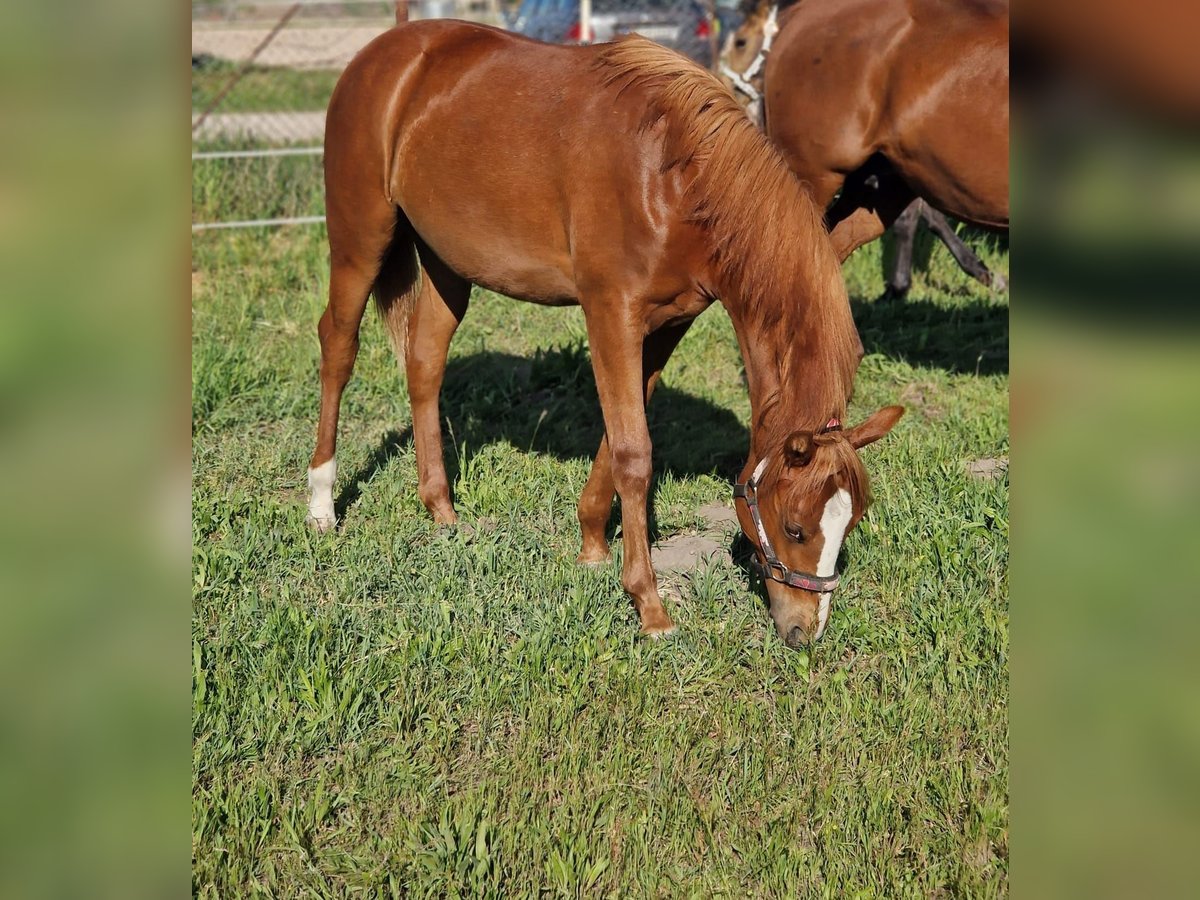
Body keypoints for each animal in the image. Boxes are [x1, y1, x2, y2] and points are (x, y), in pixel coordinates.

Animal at [307, 21, 902, 648]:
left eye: (850, 522)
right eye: (794, 526)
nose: (803, 631)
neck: (675, 175)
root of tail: (387, 52)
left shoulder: (666, 323)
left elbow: (620, 436)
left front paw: (593, 543)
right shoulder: (610, 313)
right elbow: (635, 453)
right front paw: (650, 606)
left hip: (448, 265)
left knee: (424, 362)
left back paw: (441, 510)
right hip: (360, 242)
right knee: (338, 348)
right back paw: (321, 503)